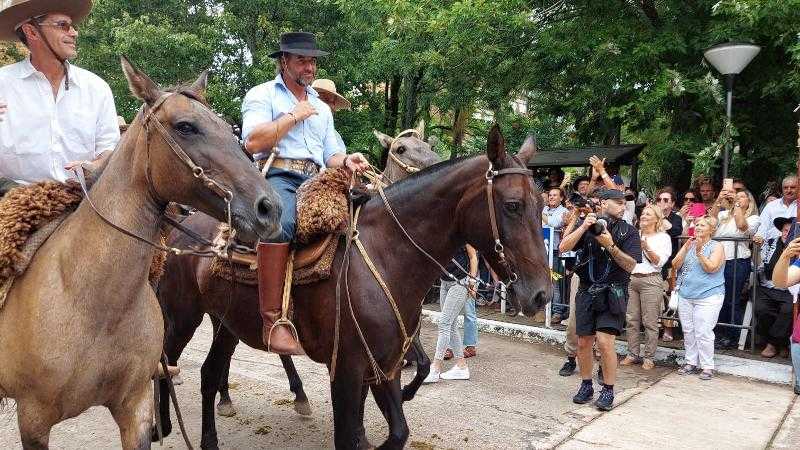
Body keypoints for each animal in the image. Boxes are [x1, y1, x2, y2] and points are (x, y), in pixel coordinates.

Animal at [0, 57, 282, 450]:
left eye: (230, 129)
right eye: (185, 127)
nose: (269, 208)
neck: (92, 304)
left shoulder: (134, 408)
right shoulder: (33, 421)